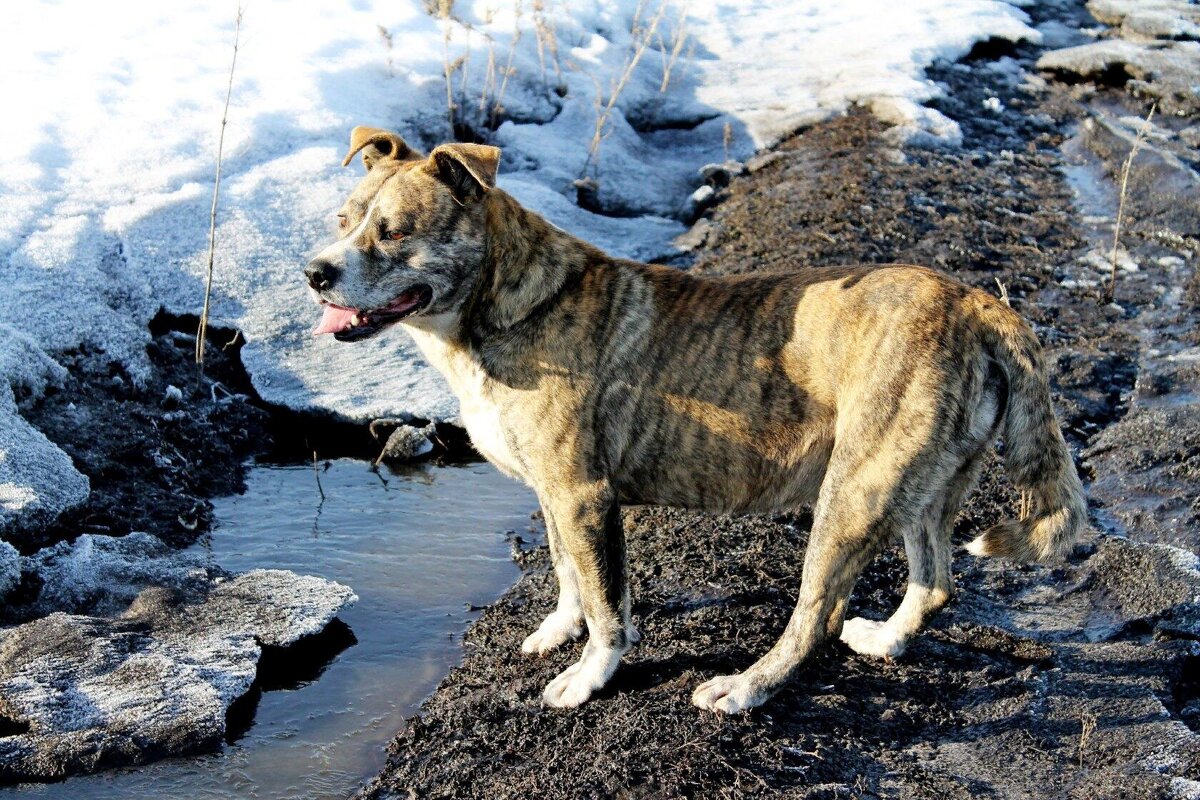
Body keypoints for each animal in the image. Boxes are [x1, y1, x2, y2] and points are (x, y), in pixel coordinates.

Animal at [302, 128, 1089, 714]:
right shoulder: (554, 493)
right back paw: (887, 640)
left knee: (817, 614)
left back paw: (744, 688)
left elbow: (608, 603)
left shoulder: (584, 495)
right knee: (936, 580)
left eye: (393, 233)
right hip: (925, 485)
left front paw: (587, 678)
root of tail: (979, 303)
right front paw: (557, 629)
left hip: (853, 491)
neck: (503, 305)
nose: (314, 272)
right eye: (342, 222)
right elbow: (567, 571)